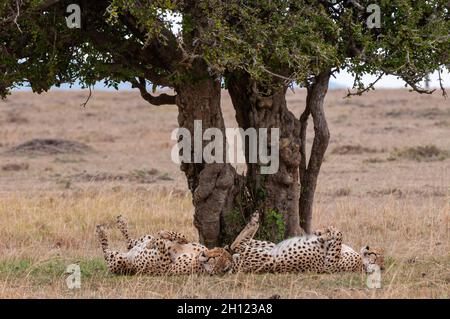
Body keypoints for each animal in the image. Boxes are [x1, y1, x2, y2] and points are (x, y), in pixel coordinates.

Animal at [97, 216, 232, 276]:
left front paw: (157, 241)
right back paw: (120, 223)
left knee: (106, 252)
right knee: (130, 242)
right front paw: (164, 234)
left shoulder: (167, 268)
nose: (204, 254)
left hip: (119, 262)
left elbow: (161, 244)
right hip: (141, 239)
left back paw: (101, 232)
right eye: (215, 250)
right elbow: (182, 236)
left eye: (215, 259)